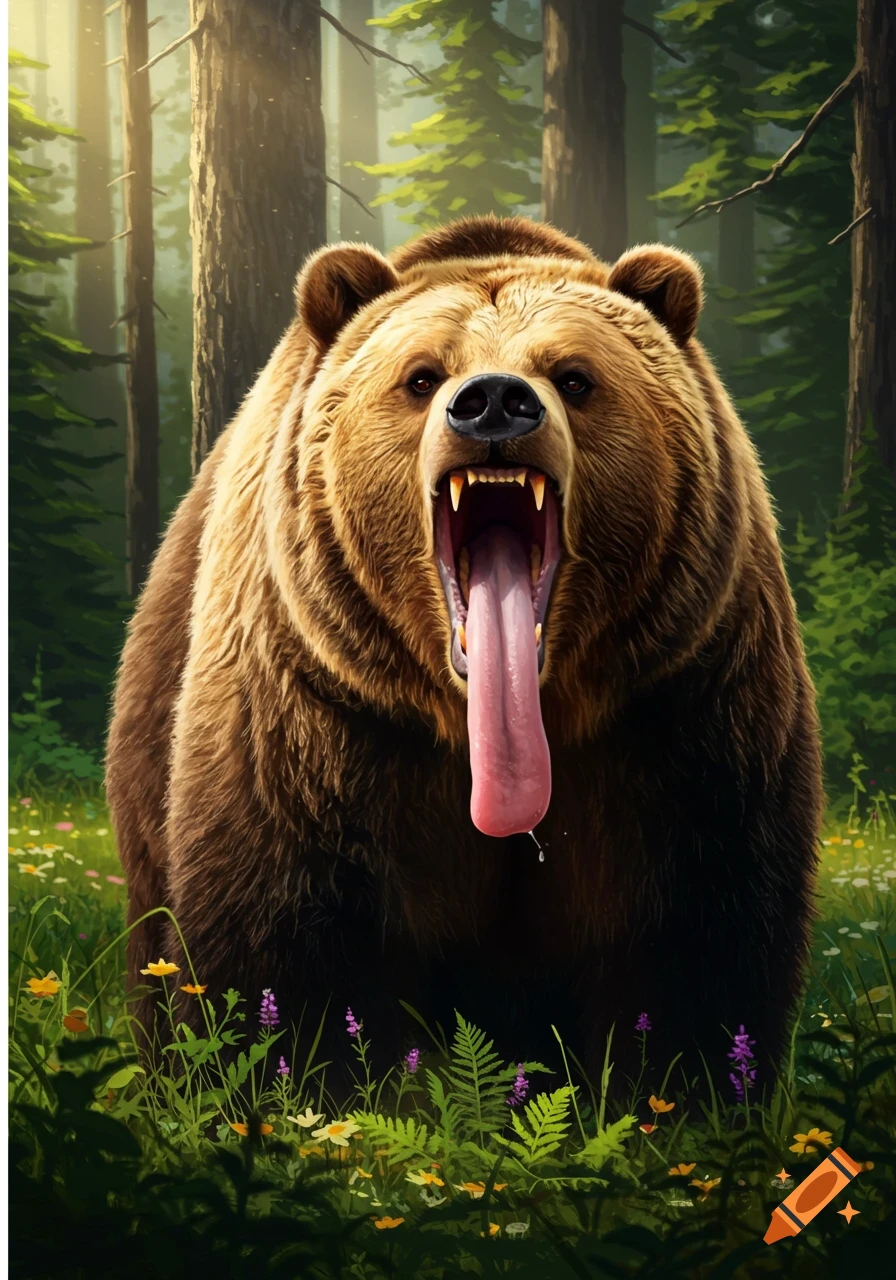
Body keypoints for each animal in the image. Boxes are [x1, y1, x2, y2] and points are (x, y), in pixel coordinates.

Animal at [105, 214, 823, 1099]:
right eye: (421, 376)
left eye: (575, 376)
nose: (494, 404)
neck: (500, 732)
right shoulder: (323, 721)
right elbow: (291, 945)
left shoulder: (683, 707)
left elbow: (699, 937)